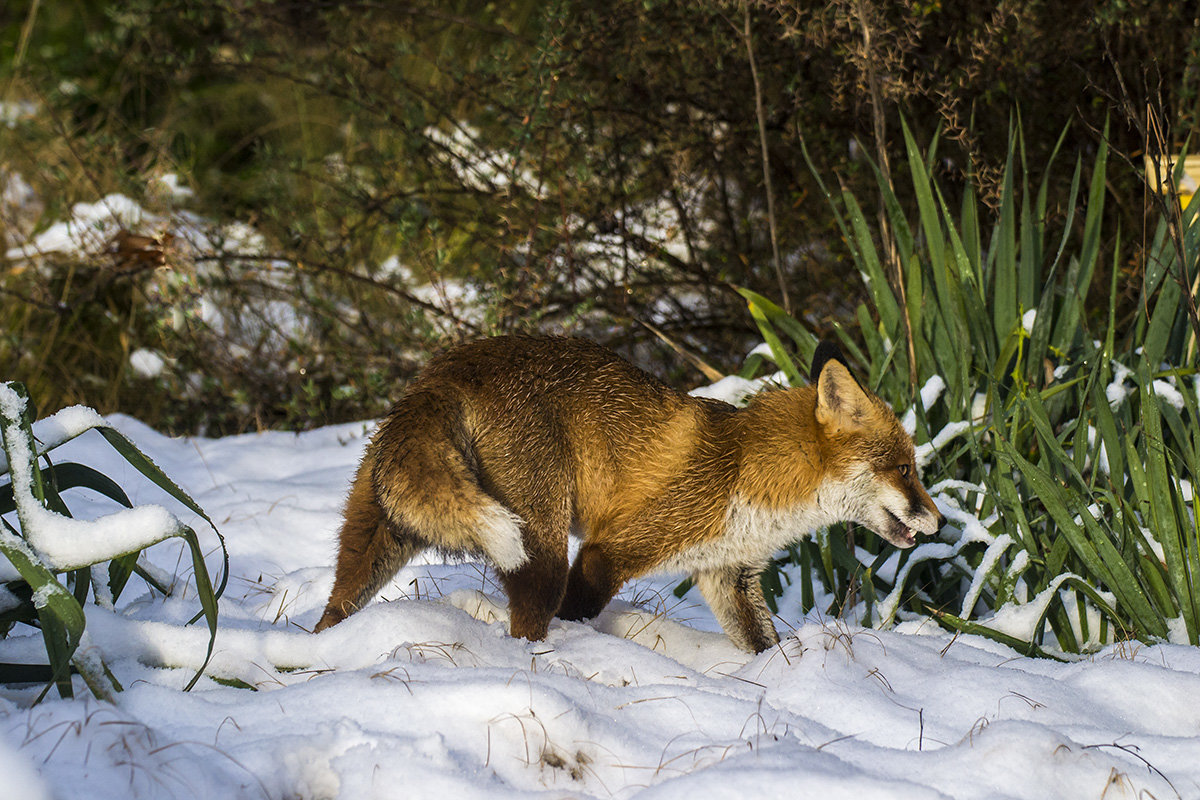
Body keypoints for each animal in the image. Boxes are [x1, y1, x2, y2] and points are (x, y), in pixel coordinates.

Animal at [314, 335, 940, 652]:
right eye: (905, 469)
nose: (940, 521)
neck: (749, 473)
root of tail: (451, 366)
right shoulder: (609, 551)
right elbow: (580, 610)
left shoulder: (727, 575)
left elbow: (764, 647)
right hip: (539, 549)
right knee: (531, 619)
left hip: (382, 536)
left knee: (336, 606)